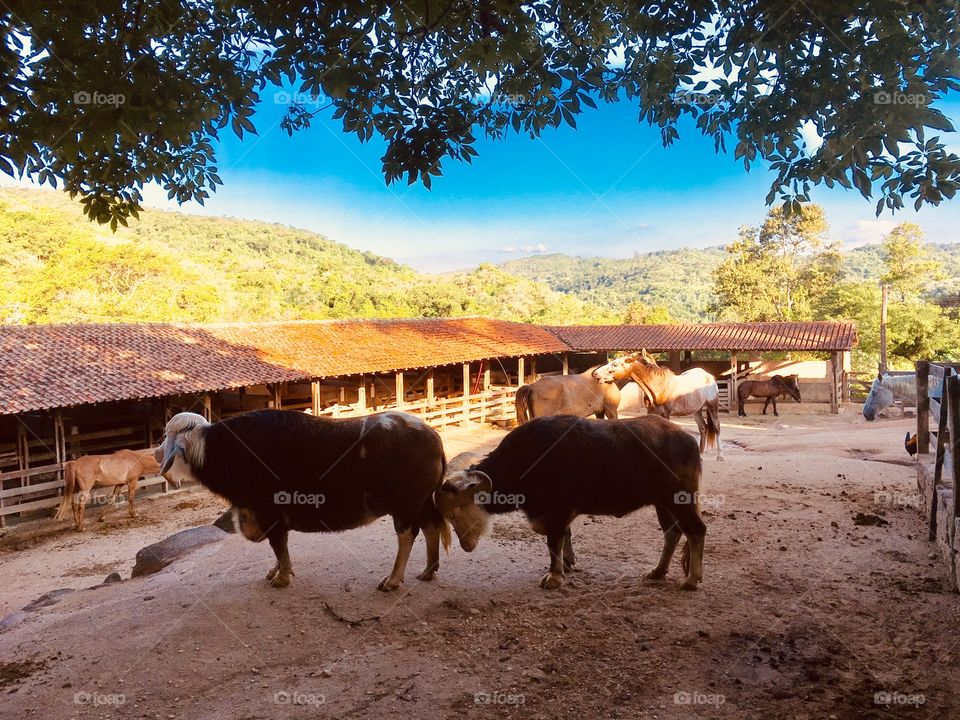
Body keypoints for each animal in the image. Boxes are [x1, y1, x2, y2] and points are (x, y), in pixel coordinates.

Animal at [588, 350, 724, 462]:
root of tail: (709, 376)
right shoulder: (651, 412)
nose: (595, 374)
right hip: (697, 410)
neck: (658, 387)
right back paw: (700, 456)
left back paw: (720, 456)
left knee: (717, 427)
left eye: (615, 364)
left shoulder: (666, 414)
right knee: (703, 428)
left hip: (712, 405)